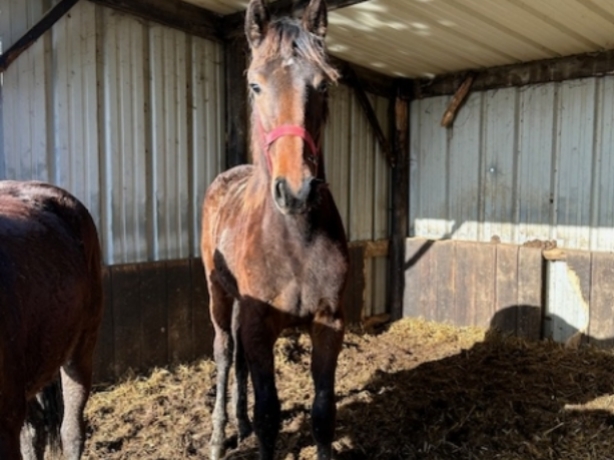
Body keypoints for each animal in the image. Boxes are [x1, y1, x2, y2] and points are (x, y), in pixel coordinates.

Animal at [200, 0, 348, 456]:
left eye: (324, 86)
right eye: (255, 86)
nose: (296, 190)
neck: (293, 240)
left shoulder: (328, 322)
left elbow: (322, 414)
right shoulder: (256, 323)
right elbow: (269, 415)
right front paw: (249, 429)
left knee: (240, 362)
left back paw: (240, 423)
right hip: (217, 295)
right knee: (225, 352)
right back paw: (219, 437)